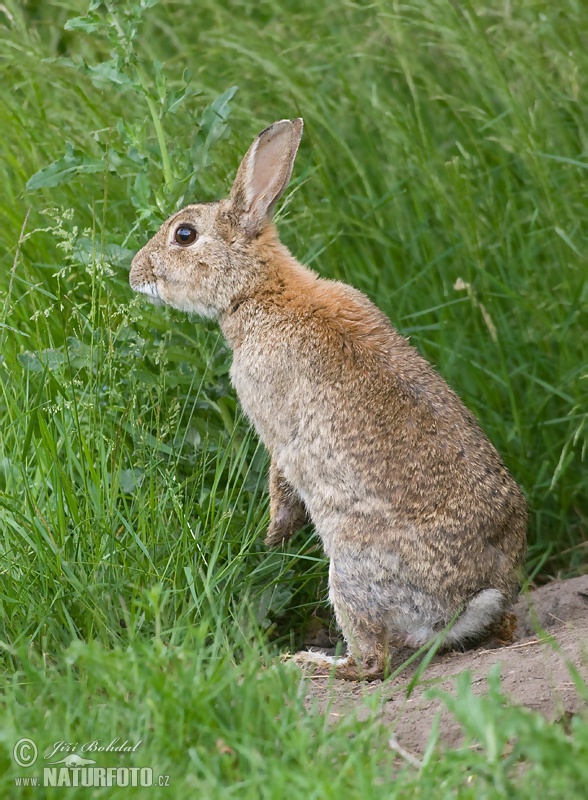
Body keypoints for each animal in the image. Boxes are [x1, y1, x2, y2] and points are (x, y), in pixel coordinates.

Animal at [132, 120, 528, 680]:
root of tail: (471, 599)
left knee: (371, 662)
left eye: (184, 234)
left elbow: (280, 478)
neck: (261, 292)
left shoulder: (275, 427)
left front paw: (271, 536)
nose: (134, 272)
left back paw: (309, 662)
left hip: (350, 569)